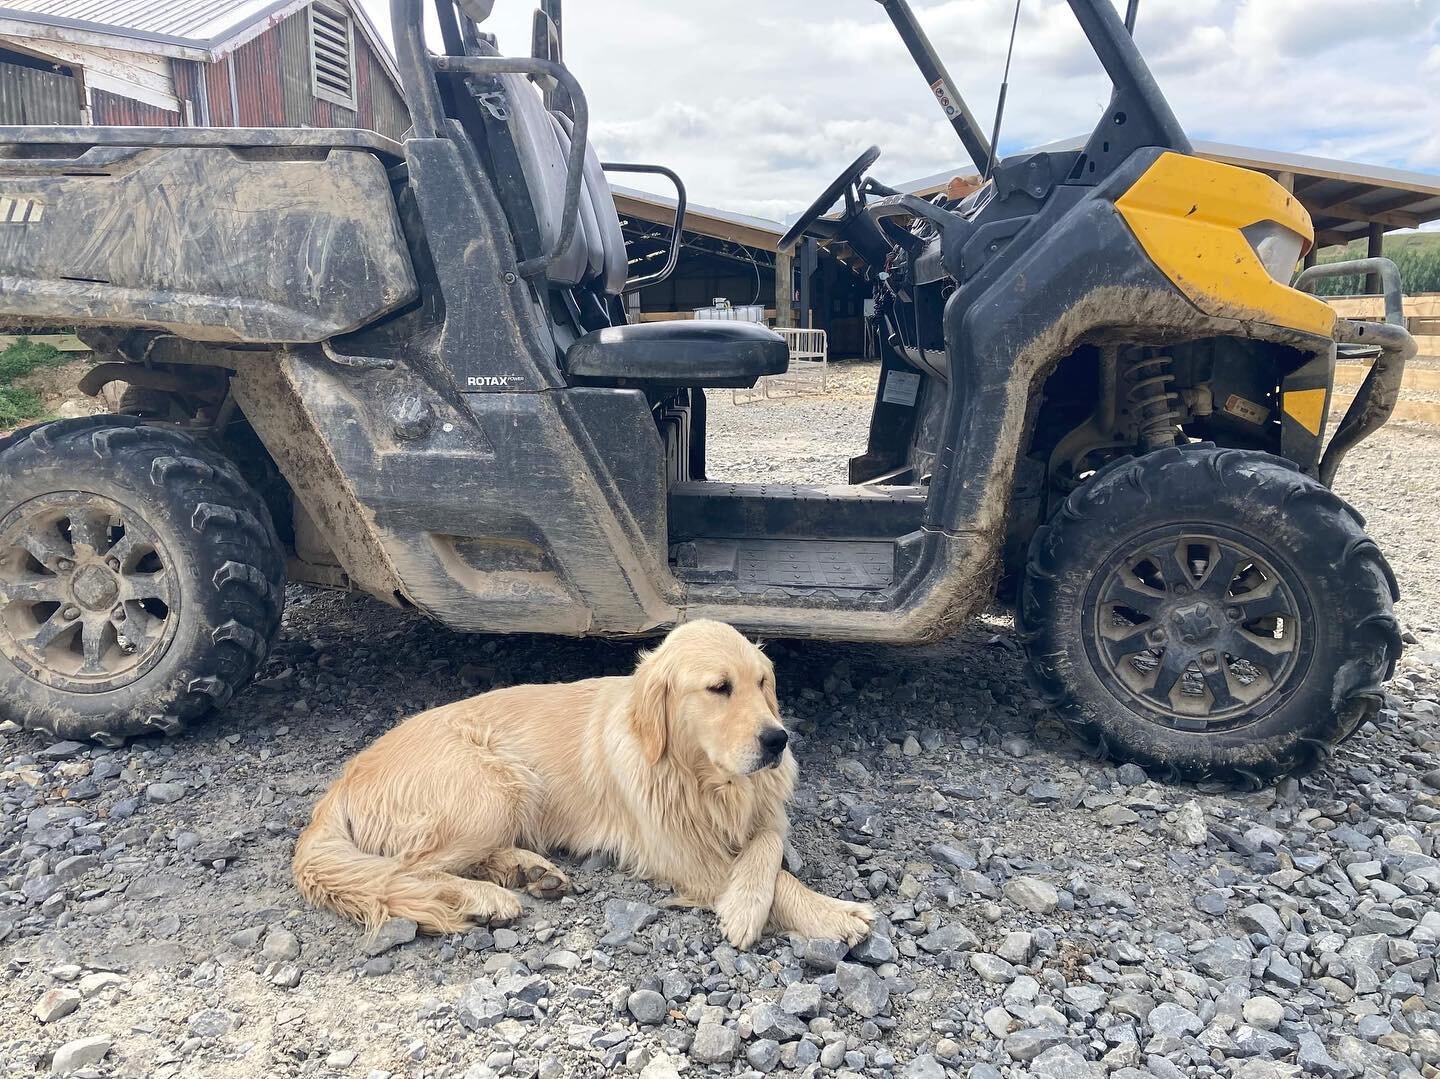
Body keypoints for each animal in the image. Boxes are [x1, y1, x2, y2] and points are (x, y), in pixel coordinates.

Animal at [290, 619, 869, 945]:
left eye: (762, 681)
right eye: (718, 688)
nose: (778, 740)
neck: (705, 779)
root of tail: (346, 777)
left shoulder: (765, 812)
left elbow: (767, 845)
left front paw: (767, 900)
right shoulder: (681, 853)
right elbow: (780, 881)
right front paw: (829, 913)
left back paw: (527, 871)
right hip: (494, 786)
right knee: (406, 871)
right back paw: (487, 897)